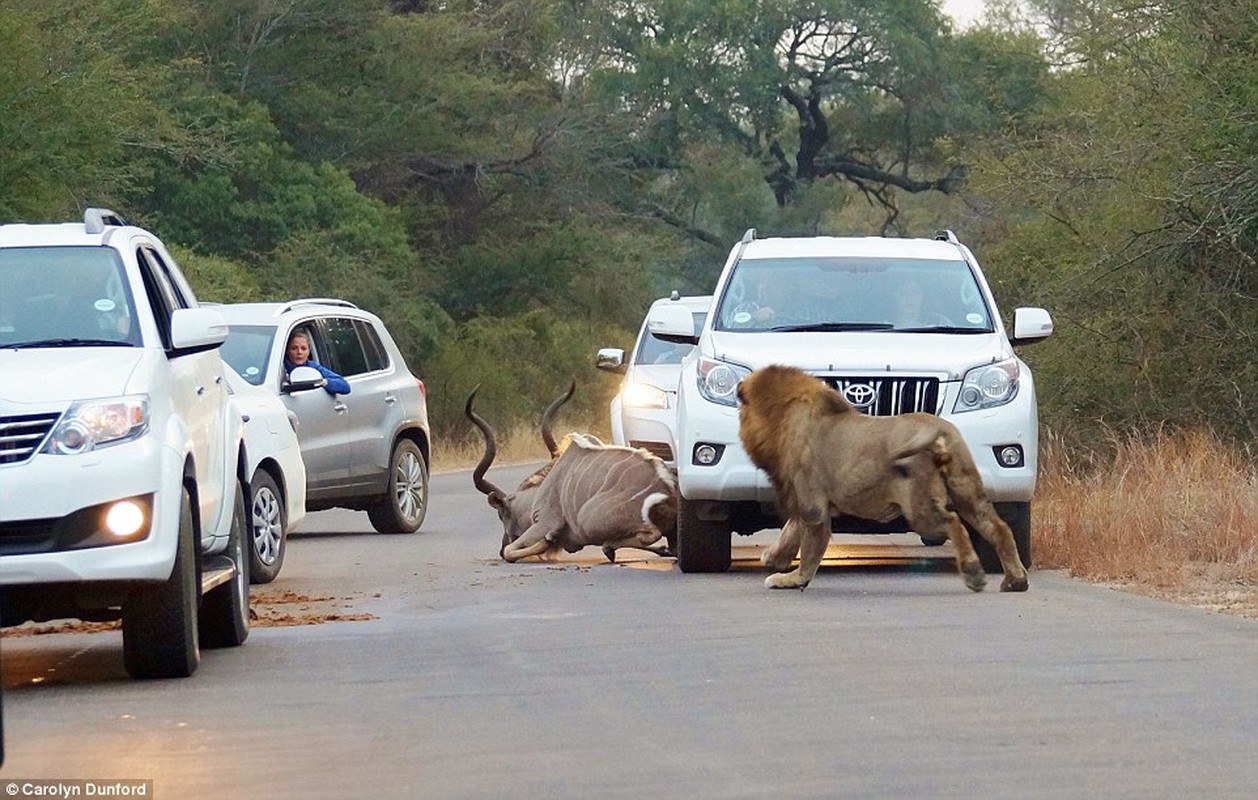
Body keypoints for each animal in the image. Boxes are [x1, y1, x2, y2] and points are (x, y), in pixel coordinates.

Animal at [465, 382, 679, 558]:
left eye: (501, 515)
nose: (500, 549)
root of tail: (667, 492)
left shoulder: (545, 522)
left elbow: (514, 551)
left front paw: (546, 542)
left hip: (587, 520)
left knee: (650, 534)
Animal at [734, 364, 1026, 593]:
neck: (784, 418)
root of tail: (937, 429)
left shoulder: (812, 504)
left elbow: (808, 550)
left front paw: (792, 579)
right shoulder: (808, 502)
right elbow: (791, 532)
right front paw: (773, 558)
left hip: (920, 508)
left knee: (954, 523)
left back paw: (974, 573)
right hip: (967, 491)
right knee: (999, 528)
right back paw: (1015, 581)